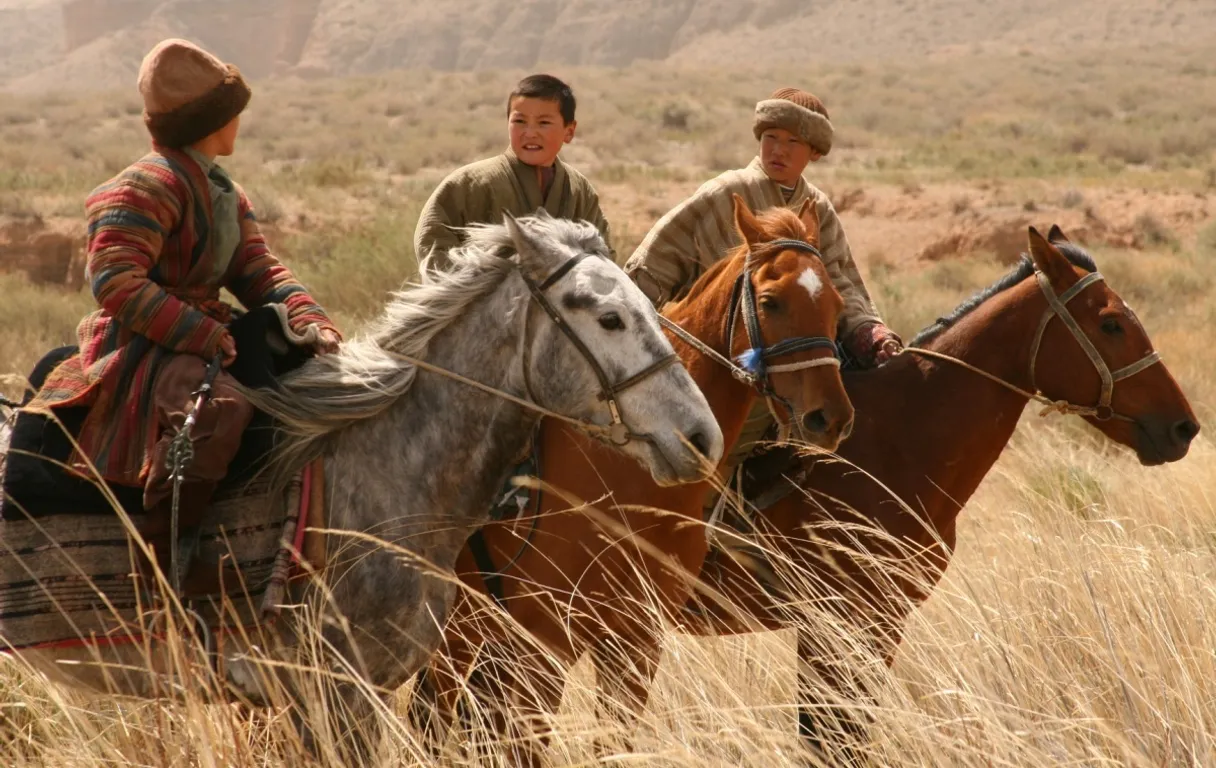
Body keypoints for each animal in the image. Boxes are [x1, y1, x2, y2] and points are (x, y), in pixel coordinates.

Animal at [408, 193, 856, 763]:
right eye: (772, 301)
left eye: (837, 306)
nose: (830, 418)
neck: (625, 479)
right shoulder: (544, 643)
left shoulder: (637, 641)